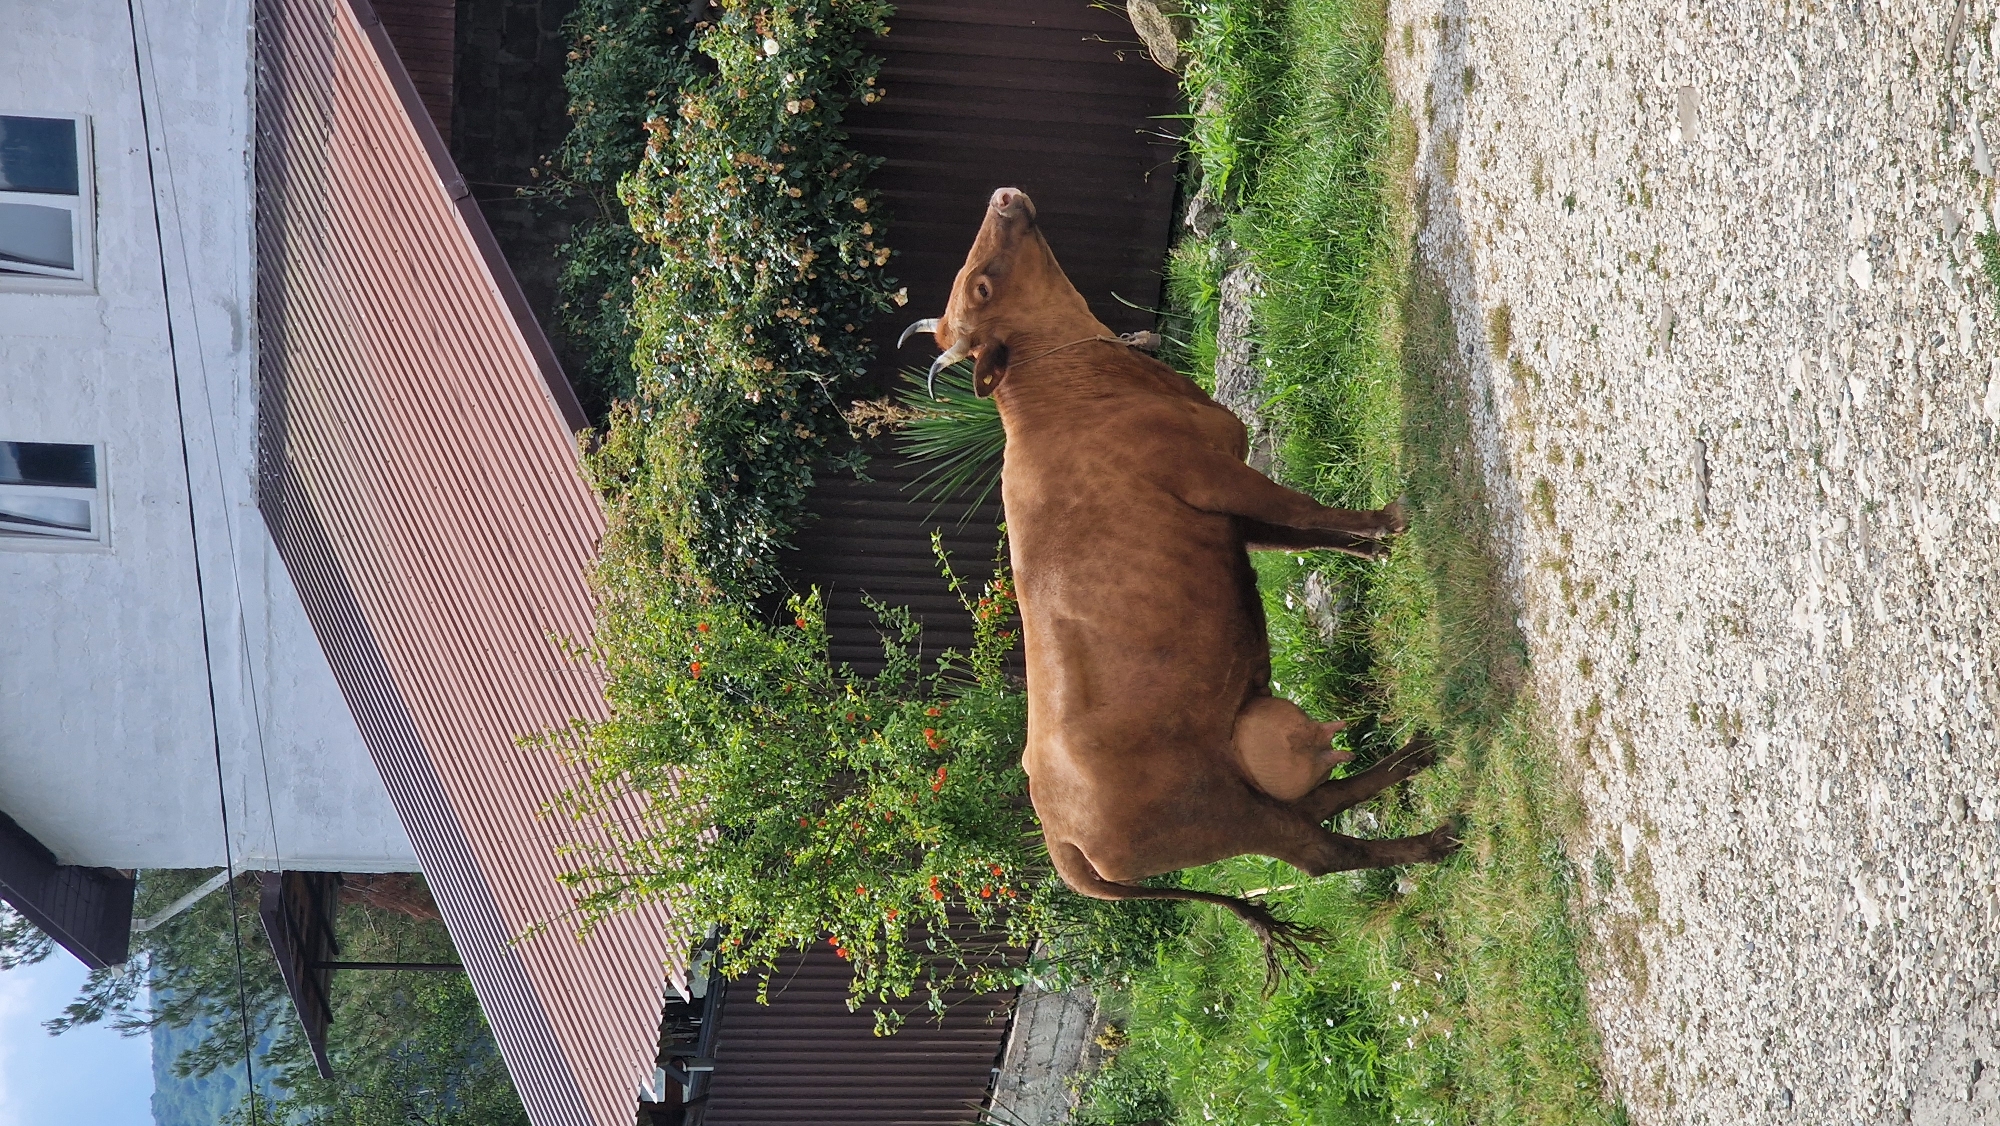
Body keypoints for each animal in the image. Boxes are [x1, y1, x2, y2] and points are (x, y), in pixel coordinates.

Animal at [900, 188, 1460, 978]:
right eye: (980, 285)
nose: (1002, 197)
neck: (1074, 391)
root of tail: (1058, 838)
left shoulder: (1230, 511)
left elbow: (1307, 533)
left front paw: (1376, 546)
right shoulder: (1218, 477)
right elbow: (1309, 512)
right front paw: (1394, 521)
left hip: (1238, 784)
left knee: (1314, 806)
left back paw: (1415, 756)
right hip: (1223, 814)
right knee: (1317, 850)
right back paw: (1432, 839)